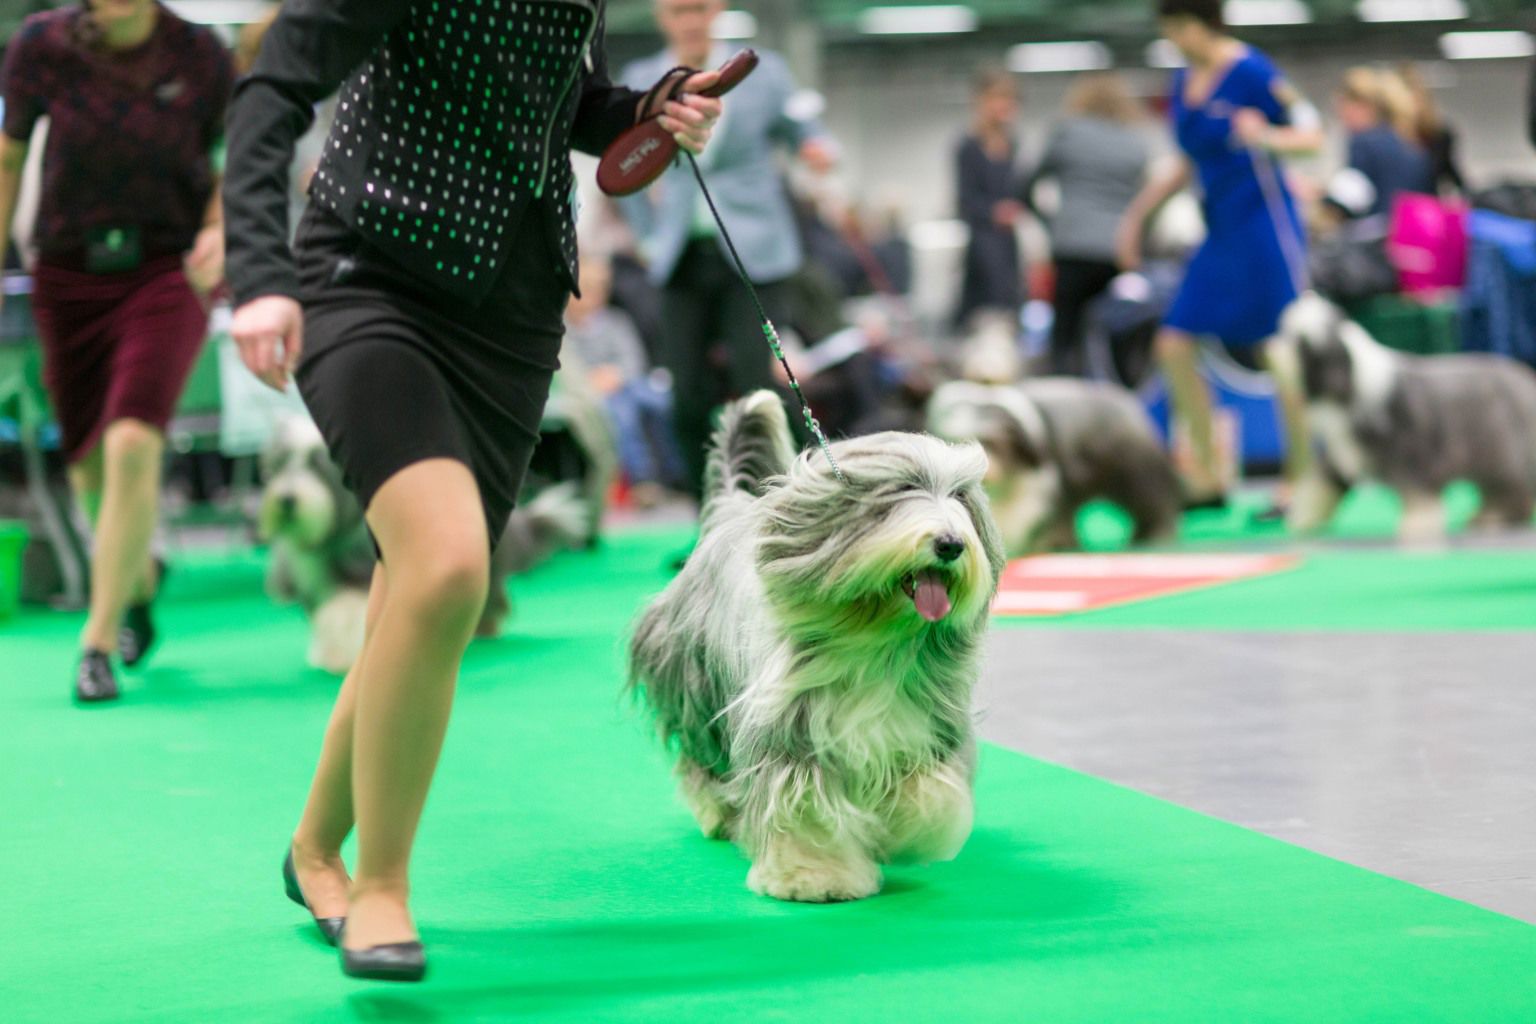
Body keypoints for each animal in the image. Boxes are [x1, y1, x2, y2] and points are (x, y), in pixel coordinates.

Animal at [626, 393, 1007, 902]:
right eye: (902, 490)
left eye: (961, 498)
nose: (950, 544)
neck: (874, 638)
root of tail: (729, 510)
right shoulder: (791, 734)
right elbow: (804, 809)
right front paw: (814, 877)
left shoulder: (926, 725)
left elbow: (930, 793)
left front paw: (899, 833)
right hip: (695, 686)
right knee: (703, 762)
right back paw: (719, 814)